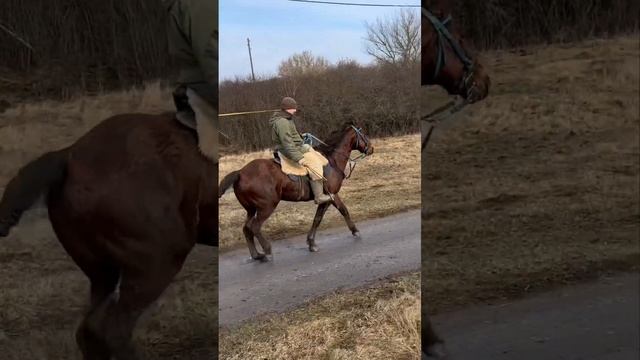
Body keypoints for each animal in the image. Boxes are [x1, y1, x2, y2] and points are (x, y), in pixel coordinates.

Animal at [219, 122, 372, 260]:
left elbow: (337, 212)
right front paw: (353, 232)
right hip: (266, 207)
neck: (331, 160)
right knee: (255, 227)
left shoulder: (332, 196)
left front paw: (312, 242)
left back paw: (256, 254)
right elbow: (322, 217)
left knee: (246, 228)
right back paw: (267, 251)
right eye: (364, 135)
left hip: (251, 209)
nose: (371, 148)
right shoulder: (330, 196)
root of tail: (240, 173)